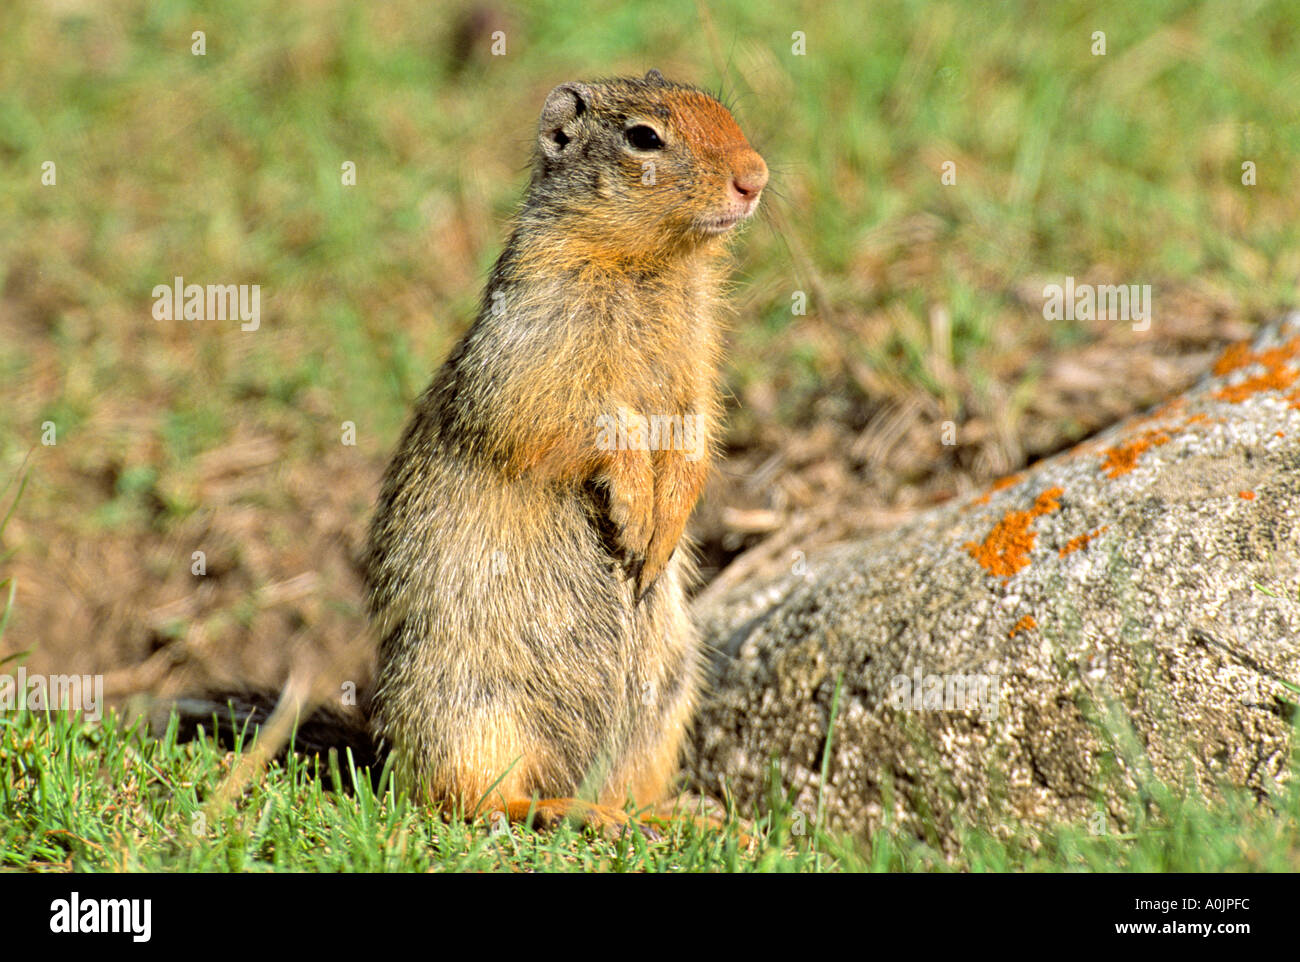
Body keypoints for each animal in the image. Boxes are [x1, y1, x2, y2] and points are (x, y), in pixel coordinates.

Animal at [361, 69, 764, 832]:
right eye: (644, 136)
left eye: (724, 109)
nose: (755, 178)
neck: (651, 265)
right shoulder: (538, 340)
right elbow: (575, 421)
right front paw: (634, 513)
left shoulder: (697, 359)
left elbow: (695, 430)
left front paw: (664, 531)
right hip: (470, 707)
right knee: (464, 797)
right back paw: (554, 808)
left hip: (664, 701)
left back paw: (676, 817)